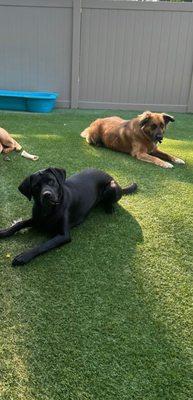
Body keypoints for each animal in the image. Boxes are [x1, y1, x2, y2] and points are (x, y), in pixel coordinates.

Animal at [0, 167, 137, 268]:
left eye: (51, 181)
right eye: (36, 186)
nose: (47, 195)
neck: (47, 210)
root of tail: (111, 176)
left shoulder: (64, 235)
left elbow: (44, 245)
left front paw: (24, 256)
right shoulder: (36, 219)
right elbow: (18, 224)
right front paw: (4, 231)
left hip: (112, 188)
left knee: (110, 201)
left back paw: (109, 208)